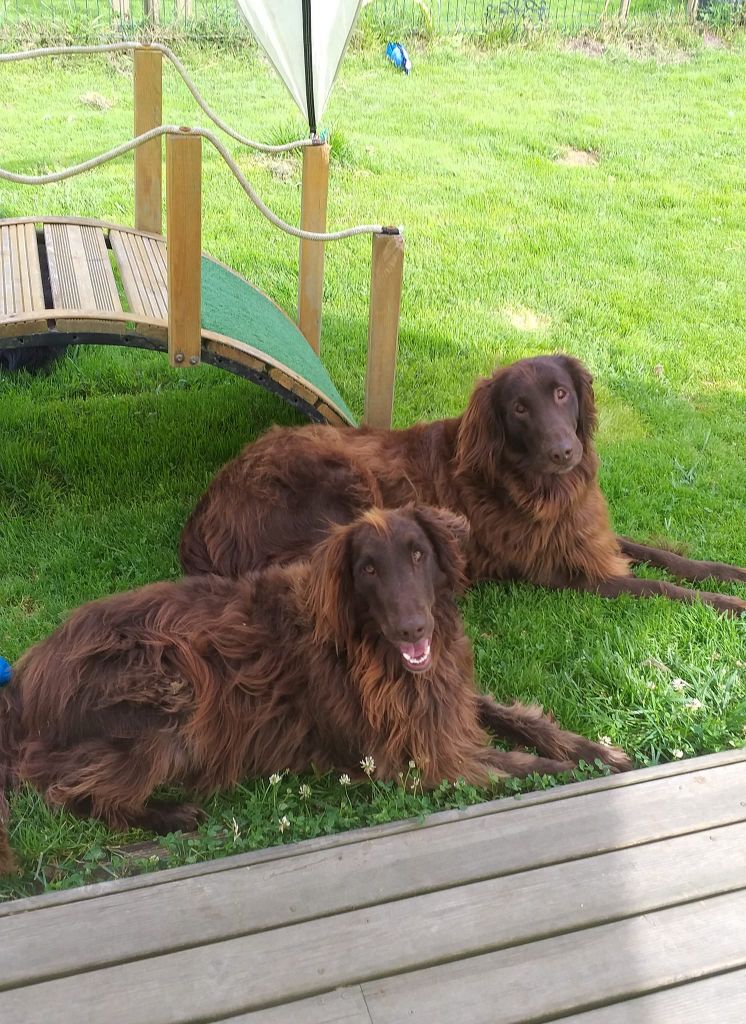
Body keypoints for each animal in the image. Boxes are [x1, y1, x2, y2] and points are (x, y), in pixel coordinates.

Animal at [0, 507, 630, 876]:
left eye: (419, 555)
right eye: (368, 569)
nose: (414, 630)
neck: (369, 648)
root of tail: (25, 686)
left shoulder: (437, 696)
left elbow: (514, 717)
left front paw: (595, 749)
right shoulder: (419, 755)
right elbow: (516, 765)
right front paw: (573, 770)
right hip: (173, 687)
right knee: (71, 791)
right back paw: (170, 815)